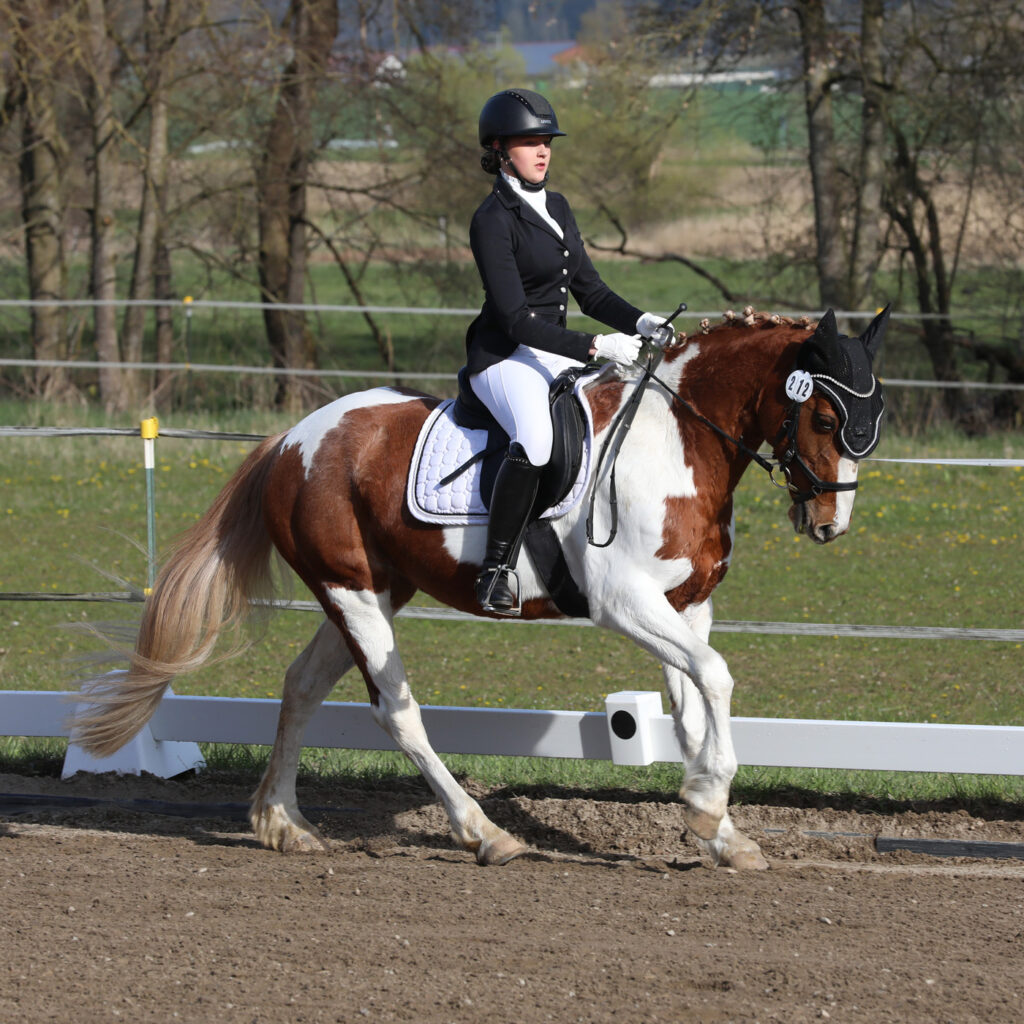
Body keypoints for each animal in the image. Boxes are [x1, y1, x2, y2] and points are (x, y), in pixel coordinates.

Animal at [72, 305, 890, 870]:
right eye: (823, 416)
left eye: (873, 417)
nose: (830, 524)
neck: (676, 442)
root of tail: (291, 440)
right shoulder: (625, 604)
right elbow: (717, 680)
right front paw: (706, 801)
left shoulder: (688, 607)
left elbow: (695, 709)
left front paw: (720, 832)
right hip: (353, 595)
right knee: (397, 713)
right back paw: (482, 833)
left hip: (371, 592)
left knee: (301, 685)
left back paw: (285, 824)